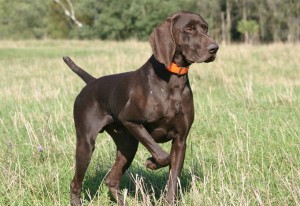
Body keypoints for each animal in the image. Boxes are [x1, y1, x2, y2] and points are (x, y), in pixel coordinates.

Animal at [64, 11, 218, 206]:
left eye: (205, 28)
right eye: (189, 29)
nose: (215, 48)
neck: (173, 81)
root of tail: (92, 82)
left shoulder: (180, 140)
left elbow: (173, 179)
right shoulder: (130, 120)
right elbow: (163, 156)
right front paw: (151, 163)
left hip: (127, 145)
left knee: (111, 180)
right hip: (86, 144)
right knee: (75, 182)